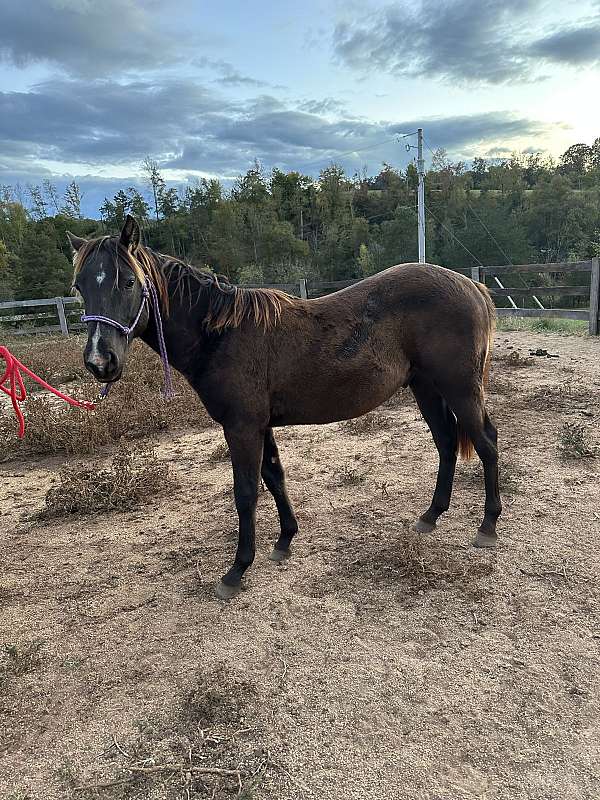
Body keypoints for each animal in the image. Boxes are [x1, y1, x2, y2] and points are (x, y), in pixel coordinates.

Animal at [68, 216, 502, 596]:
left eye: (128, 282)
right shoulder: (259, 425)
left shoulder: (241, 427)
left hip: (460, 389)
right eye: (79, 287)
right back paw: (431, 516)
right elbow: (274, 477)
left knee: (486, 444)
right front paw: (284, 541)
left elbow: (246, 492)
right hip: (427, 388)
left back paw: (487, 526)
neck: (222, 335)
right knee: (447, 443)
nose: (100, 361)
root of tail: (471, 287)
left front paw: (236, 571)